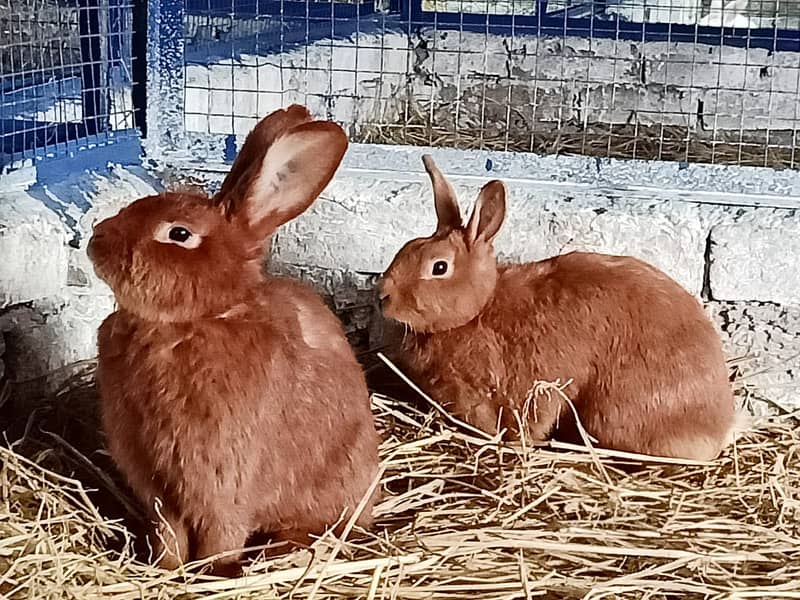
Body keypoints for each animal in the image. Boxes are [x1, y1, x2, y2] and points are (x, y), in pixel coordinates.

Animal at [89, 105, 382, 576]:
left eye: (179, 234)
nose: (96, 239)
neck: (195, 321)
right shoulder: (155, 482)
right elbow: (167, 530)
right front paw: (165, 569)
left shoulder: (224, 478)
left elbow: (220, 534)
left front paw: (211, 573)